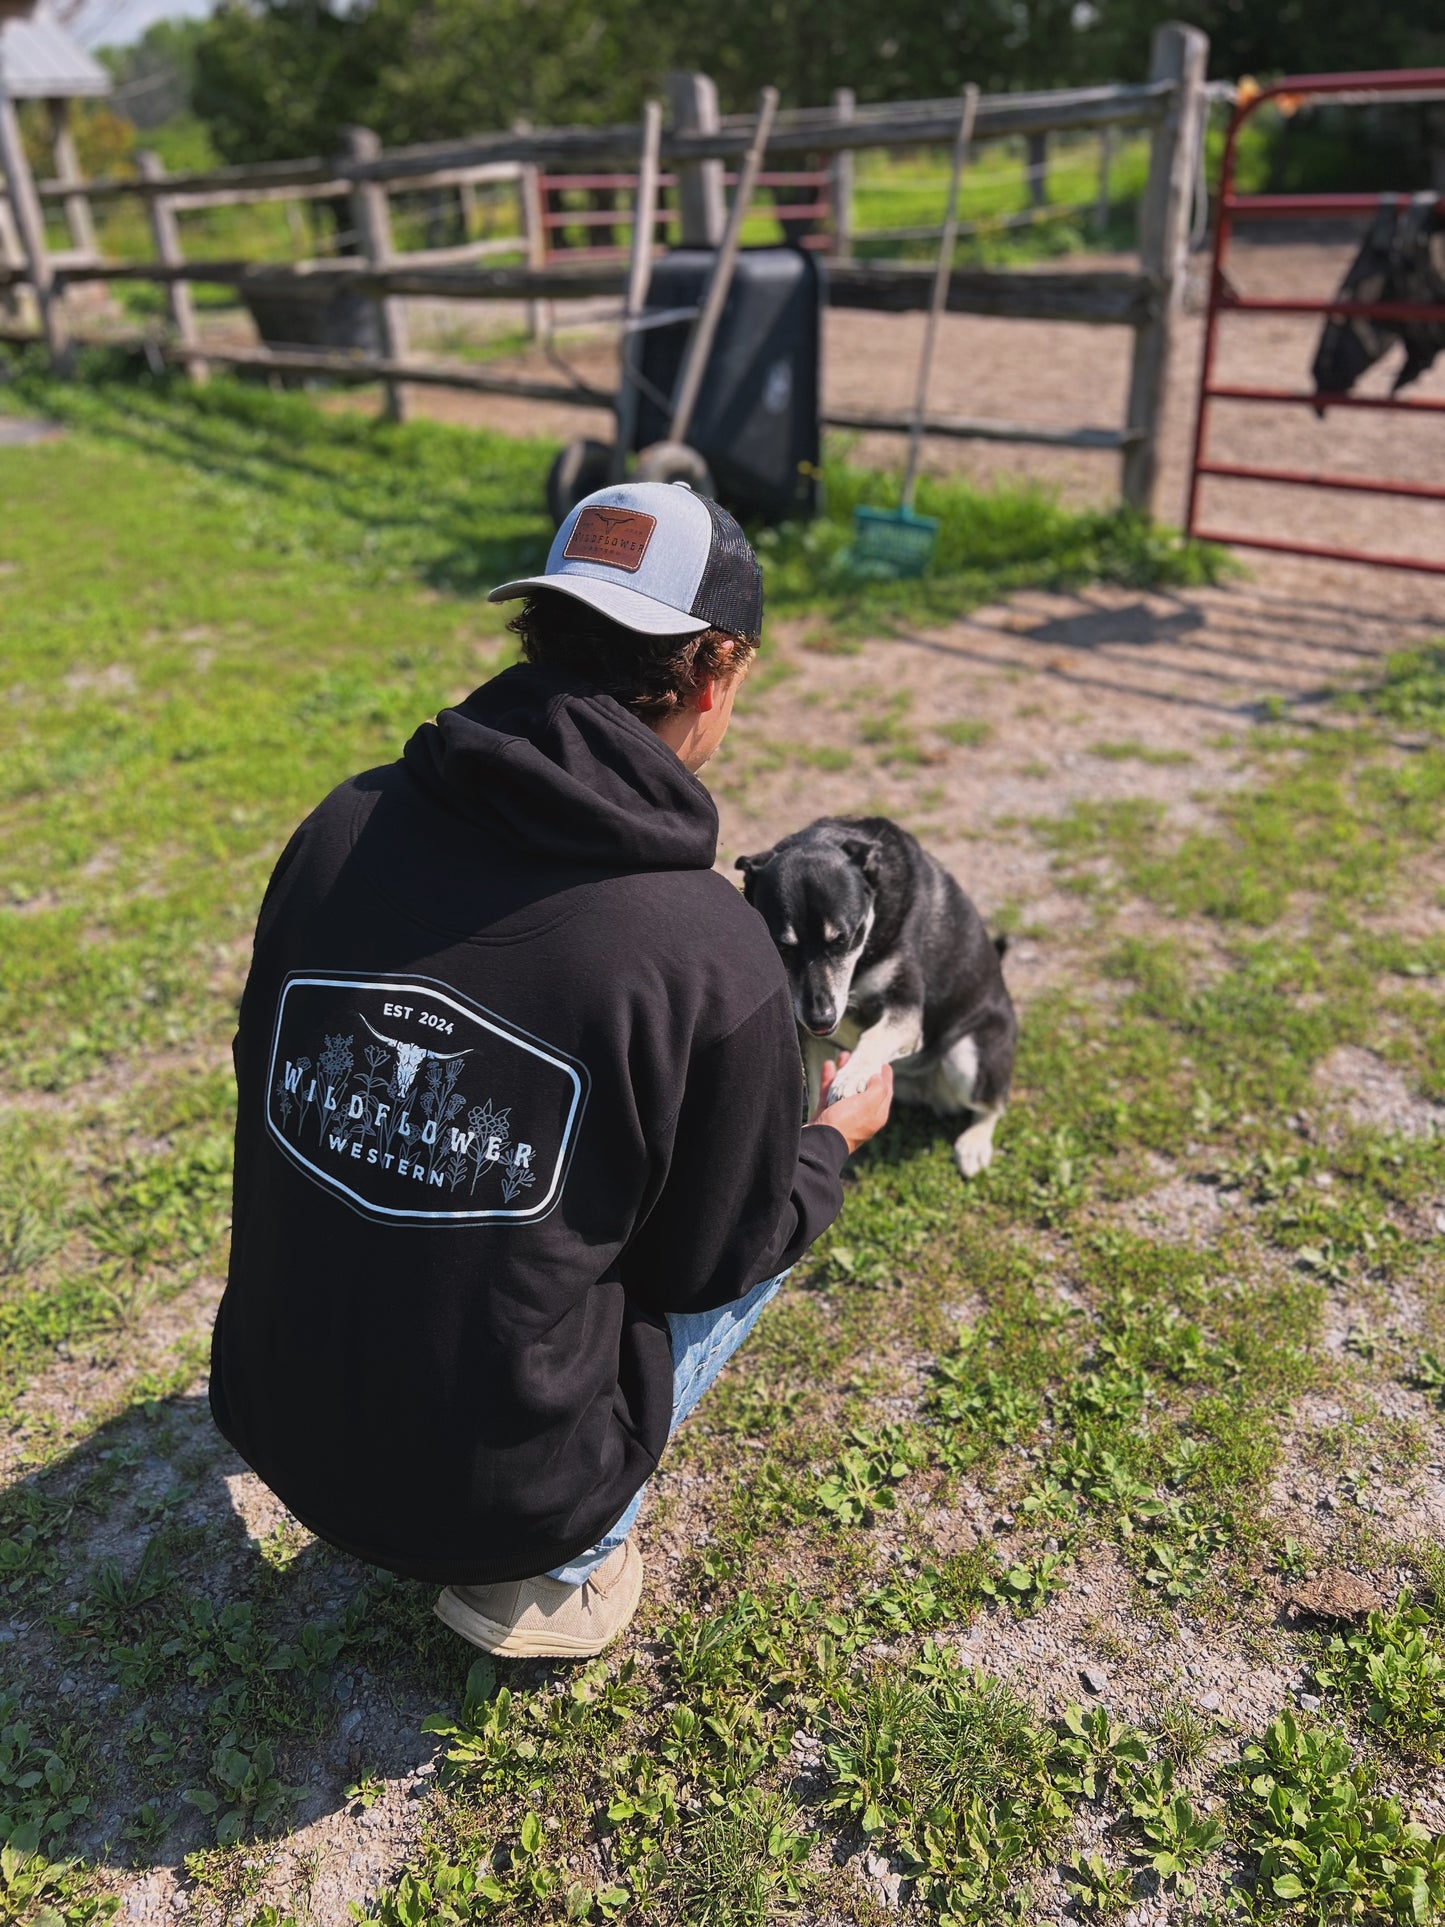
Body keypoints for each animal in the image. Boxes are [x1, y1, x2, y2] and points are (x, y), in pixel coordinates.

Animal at [735, 813, 1017, 1171]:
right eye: (783, 947)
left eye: (843, 939)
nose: (821, 1019)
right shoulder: (810, 1033)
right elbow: (815, 1090)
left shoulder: (906, 1009)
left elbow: (873, 1037)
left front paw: (850, 1076)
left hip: (967, 1060)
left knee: (993, 1104)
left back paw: (974, 1143)